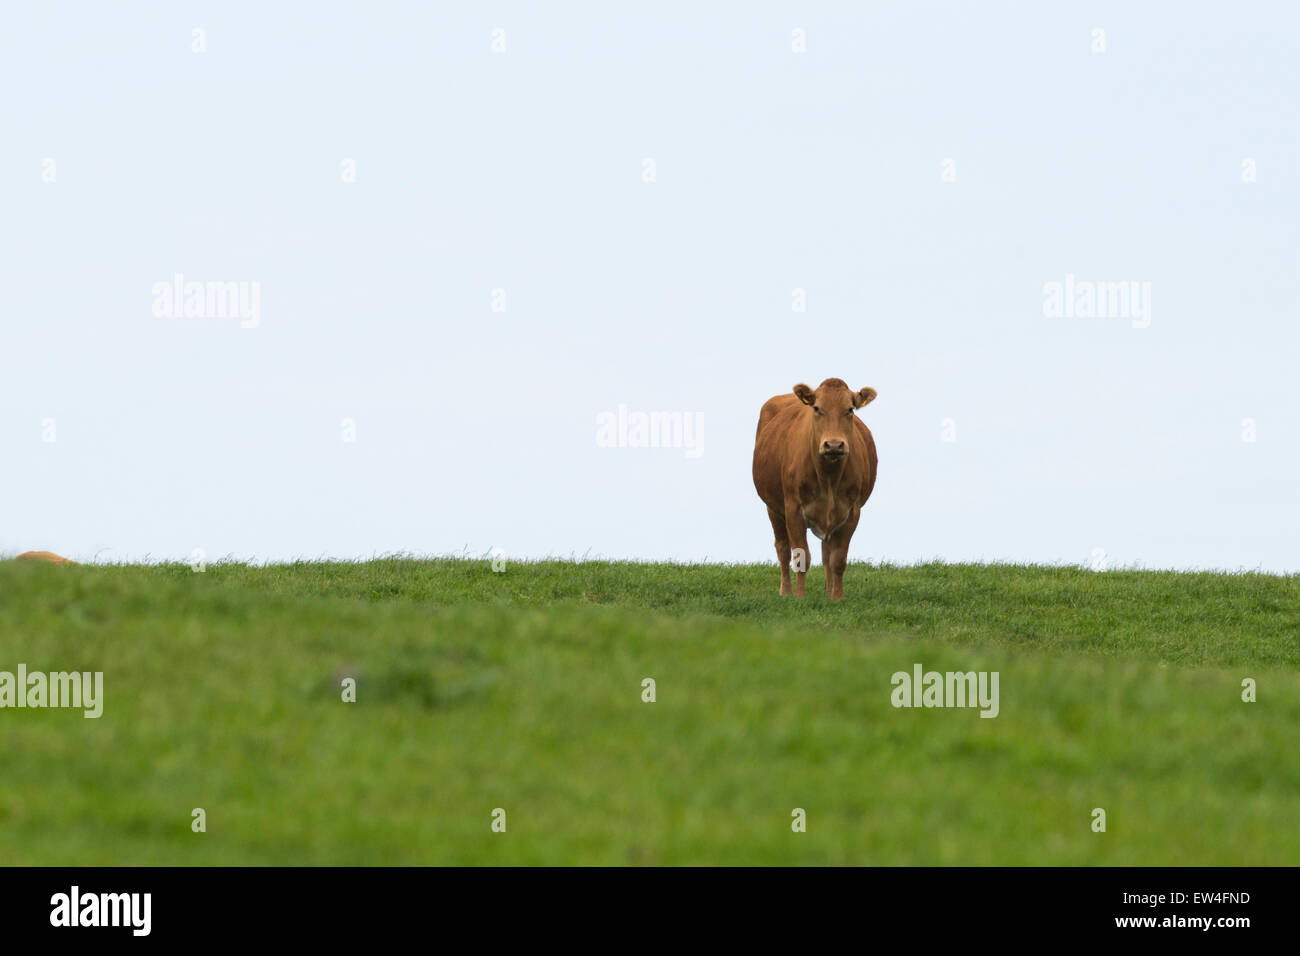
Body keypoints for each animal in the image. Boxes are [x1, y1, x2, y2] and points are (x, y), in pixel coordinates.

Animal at [752, 378, 878, 601]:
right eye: (817, 408)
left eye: (850, 409)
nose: (834, 445)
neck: (828, 478)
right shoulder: (793, 510)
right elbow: (801, 557)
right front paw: (800, 597)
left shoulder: (852, 512)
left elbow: (837, 560)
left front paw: (837, 598)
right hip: (773, 508)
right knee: (782, 549)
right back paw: (785, 591)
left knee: (826, 553)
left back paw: (828, 592)